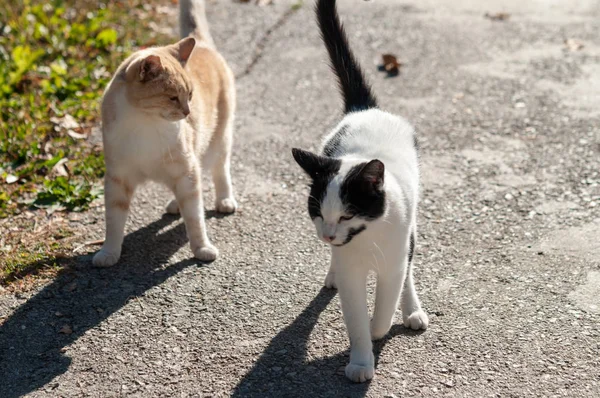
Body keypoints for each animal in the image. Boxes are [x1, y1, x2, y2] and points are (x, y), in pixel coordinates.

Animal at [92, 1, 236, 268]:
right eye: (172, 98)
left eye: (190, 95)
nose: (187, 112)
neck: (145, 123)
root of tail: (201, 43)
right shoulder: (118, 179)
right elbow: (113, 223)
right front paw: (109, 253)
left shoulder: (186, 171)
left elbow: (195, 219)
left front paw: (202, 248)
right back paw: (174, 205)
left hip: (218, 141)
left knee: (219, 169)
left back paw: (224, 201)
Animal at [292, 0, 428, 382]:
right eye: (318, 213)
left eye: (348, 214)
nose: (328, 235)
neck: (367, 238)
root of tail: (365, 110)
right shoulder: (352, 270)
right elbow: (354, 315)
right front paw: (360, 361)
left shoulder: (393, 261)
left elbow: (385, 305)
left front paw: (378, 327)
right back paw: (331, 276)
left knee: (409, 264)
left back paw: (412, 309)